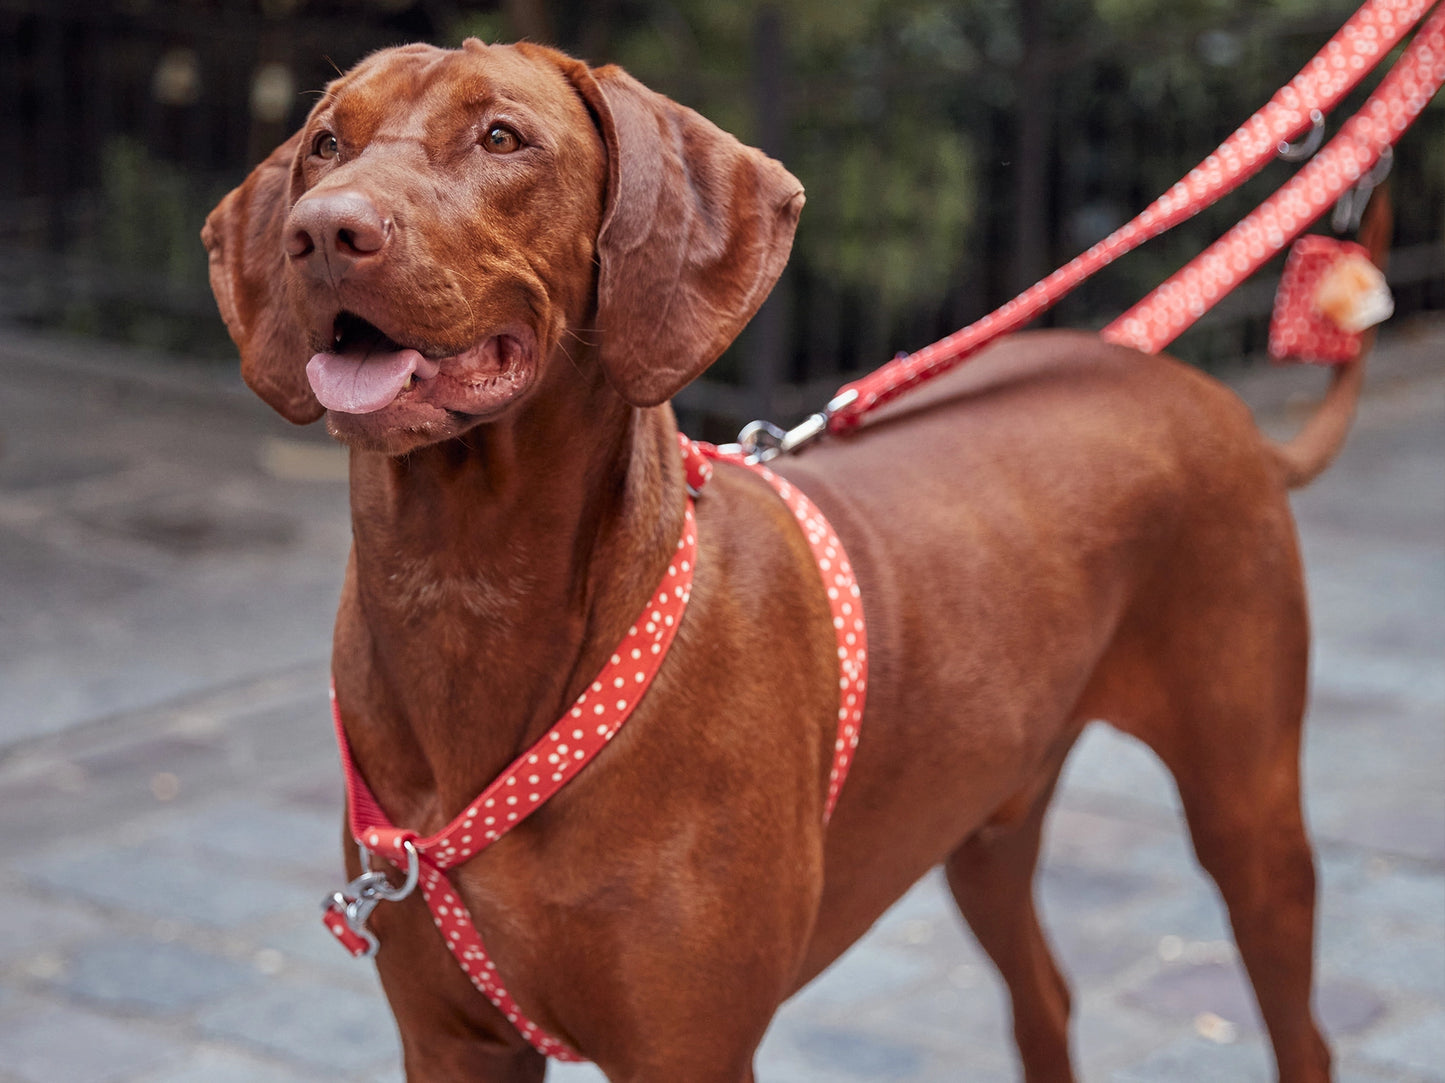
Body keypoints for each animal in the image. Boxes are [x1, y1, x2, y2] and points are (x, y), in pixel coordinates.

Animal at [200, 37, 1352, 1075]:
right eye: (323, 142)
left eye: (501, 138)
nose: (322, 230)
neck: (463, 583)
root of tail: (1209, 400)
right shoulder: (451, 1042)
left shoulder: (688, 1046)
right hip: (986, 819)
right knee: (1045, 1001)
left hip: (1248, 815)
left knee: (1301, 1025)